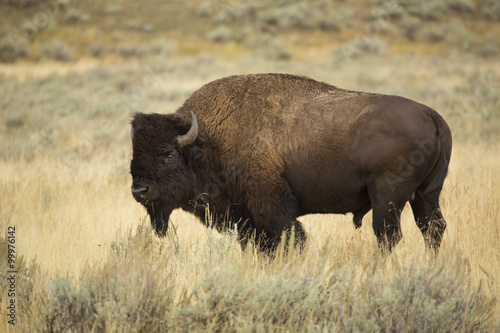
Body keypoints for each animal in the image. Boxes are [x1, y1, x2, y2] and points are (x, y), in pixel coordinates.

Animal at [131, 73, 452, 252]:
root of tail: (432, 115)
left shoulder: (272, 210)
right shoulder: (248, 219)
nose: (139, 191)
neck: (209, 142)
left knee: (388, 235)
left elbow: (289, 240)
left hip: (388, 196)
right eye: (135, 153)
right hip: (426, 194)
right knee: (432, 229)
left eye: (168, 154)